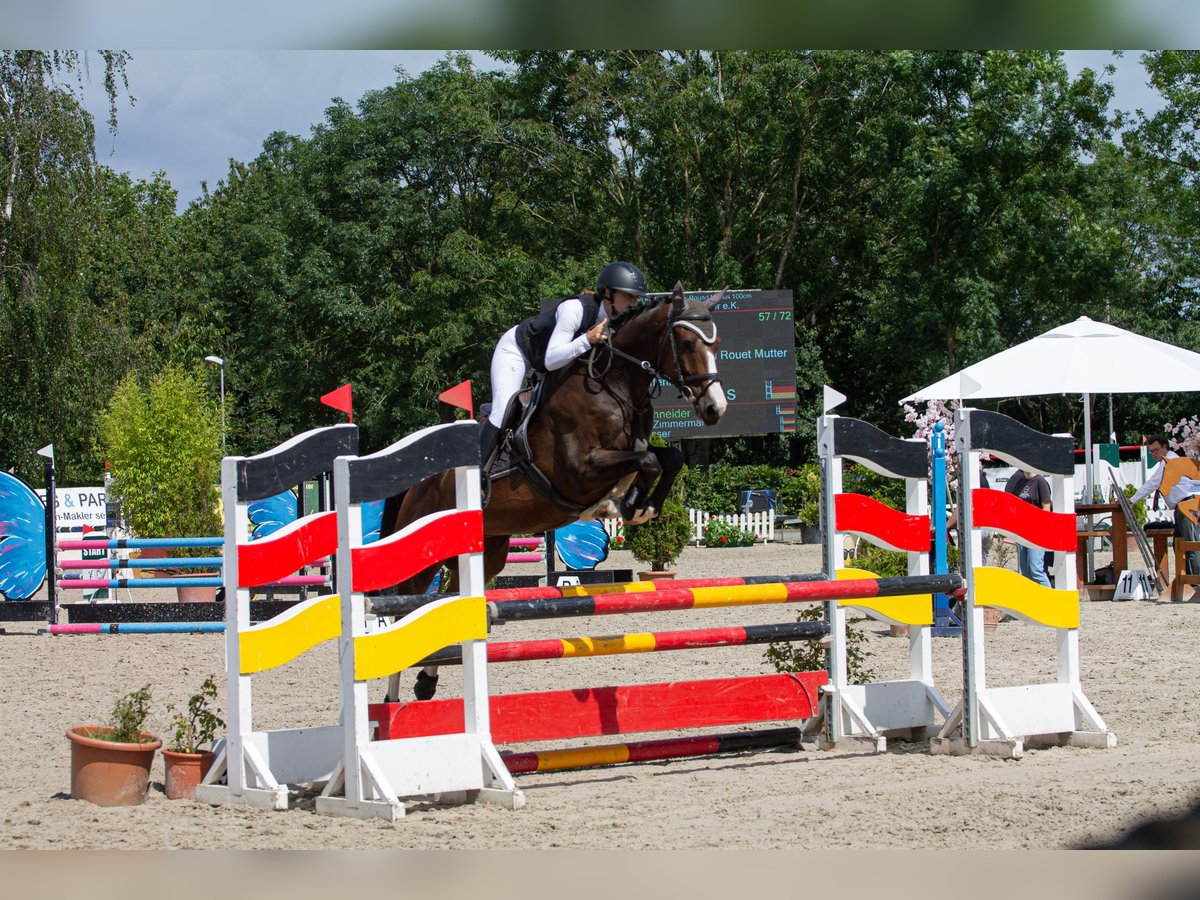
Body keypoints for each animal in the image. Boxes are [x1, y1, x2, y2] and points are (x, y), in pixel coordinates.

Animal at [379, 280, 724, 696]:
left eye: (717, 346)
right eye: (687, 343)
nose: (715, 409)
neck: (614, 385)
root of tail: (418, 480)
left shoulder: (630, 449)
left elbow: (666, 458)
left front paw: (640, 506)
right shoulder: (579, 470)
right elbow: (648, 462)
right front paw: (623, 505)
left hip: (488, 550)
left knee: (453, 598)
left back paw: (425, 684)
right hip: (421, 552)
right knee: (404, 606)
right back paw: (394, 697)